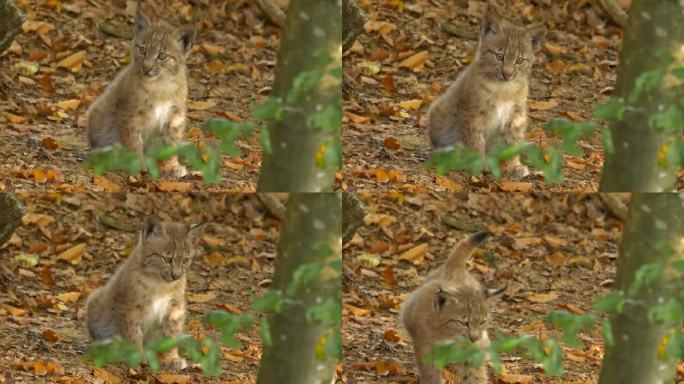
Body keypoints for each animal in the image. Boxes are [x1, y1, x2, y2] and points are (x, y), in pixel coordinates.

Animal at [85, 216, 204, 368]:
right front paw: (138, 356)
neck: (160, 284)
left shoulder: (175, 307)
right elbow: (132, 333)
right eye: (167, 259)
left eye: (186, 260)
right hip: (95, 299)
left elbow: (171, 332)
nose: (176, 276)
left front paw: (172, 358)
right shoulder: (129, 307)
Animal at [86, 3, 195, 178]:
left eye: (162, 56)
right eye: (142, 50)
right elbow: (133, 140)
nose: (146, 68)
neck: (161, 85)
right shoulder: (129, 114)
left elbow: (171, 142)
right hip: (97, 113)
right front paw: (138, 164)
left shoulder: (175, 115)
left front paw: (172, 166)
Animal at [400, 231, 502, 384]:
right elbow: (431, 375)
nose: (474, 338)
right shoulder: (425, 349)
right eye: (463, 323)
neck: (449, 335)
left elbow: (475, 375)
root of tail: (453, 267)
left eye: (482, 322)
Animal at [428, 7, 544, 178]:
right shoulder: (472, 113)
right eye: (499, 56)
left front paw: (514, 165)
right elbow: (475, 140)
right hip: (438, 110)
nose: (507, 74)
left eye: (519, 61)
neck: (504, 87)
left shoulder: (516, 115)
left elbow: (513, 140)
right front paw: (480, 164)